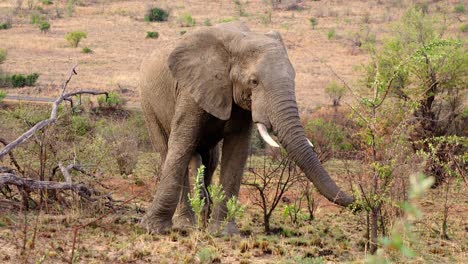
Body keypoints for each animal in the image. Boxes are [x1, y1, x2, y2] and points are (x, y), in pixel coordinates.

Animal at [139, 22, 354, 233]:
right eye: (254, 82)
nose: (356, 200)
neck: (237, 41)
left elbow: (237, 150)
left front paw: (223, 232)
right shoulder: (190, 90)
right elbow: (182, 144)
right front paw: (153, 229)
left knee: (210, 160)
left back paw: (202, 221)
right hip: (148, 104)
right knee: (168, 151)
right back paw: (185, 225)